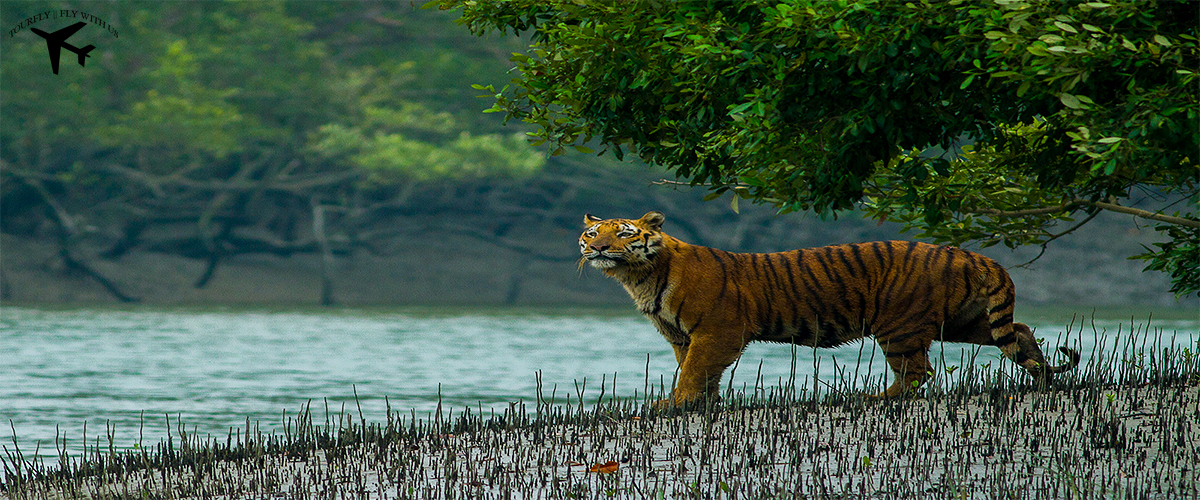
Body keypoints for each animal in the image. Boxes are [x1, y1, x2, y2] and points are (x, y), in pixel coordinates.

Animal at [576, 211, 1084, 405]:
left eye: (623, 233)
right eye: (592, 232)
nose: (597, 247)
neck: (639, 276)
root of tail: (971, 255)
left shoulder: (716, 331)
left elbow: (694, 371)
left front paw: (674, 404)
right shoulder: (682, 335)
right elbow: (697, 371)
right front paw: (701, 405)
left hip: (899, 326)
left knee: (917, 373)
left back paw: (875, 398)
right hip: (962, 322)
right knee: (1019, 331)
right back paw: (1042, 374)